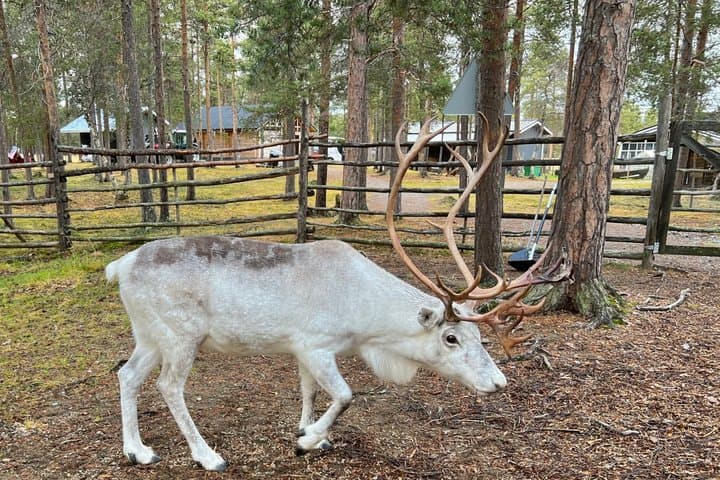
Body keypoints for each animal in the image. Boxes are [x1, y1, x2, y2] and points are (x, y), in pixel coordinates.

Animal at [105, 116, 570, 472]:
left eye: (480, 337)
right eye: (451, 337)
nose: (498, 381)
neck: (369, 327)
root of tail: (120, 266)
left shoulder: (301, 349)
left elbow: (309, 390)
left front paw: (307, 431)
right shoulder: (316, 343)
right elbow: (345, 395)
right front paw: (307, 439)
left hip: (149, 333)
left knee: (127, 374)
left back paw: (137, 451)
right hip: (181, 334)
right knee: (168, 386)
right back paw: (207, 456)